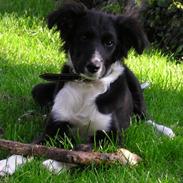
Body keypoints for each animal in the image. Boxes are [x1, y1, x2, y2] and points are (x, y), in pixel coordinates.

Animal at [31, 2, 149, 149]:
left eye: (109, 43)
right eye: (84, 37)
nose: (94, 66)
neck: (87, 86)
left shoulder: (111, 135)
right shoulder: (55, 124)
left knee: (146, 118)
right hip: (38, 89)